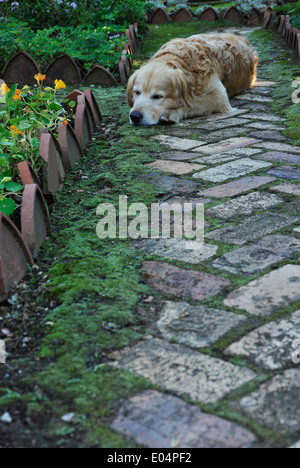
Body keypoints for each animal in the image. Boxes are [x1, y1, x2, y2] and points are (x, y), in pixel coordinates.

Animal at [126, 33, 258, 126]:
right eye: (136, 92)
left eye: (158, 96)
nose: (134, 116)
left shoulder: (219, 95)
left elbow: (192, 104)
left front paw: (172, 113)